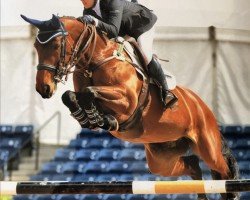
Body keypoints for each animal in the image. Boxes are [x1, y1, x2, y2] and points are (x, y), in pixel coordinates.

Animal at [21, 14, 238, 200]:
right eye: (36, 47)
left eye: (57, 45)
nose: (43, 88)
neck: (95, 61)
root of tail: (204, 106)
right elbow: (70, 96)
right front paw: (88, 118)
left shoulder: (128, 101)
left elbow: (90, 92)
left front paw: (103, 120)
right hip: (162, 157)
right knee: (193, 164)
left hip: (207, 145)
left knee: (223, 169)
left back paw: (232, 191)